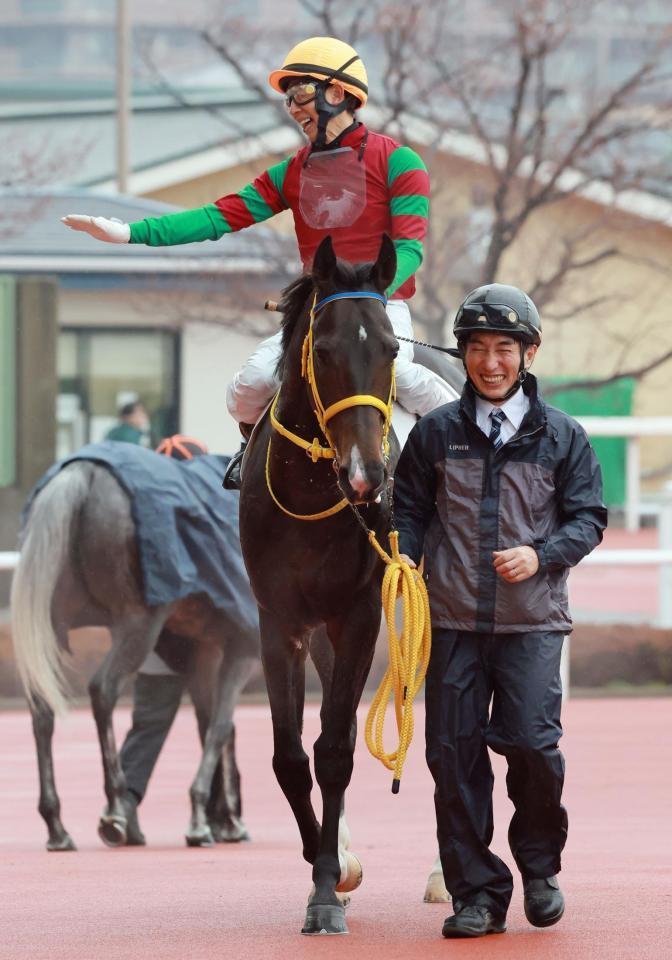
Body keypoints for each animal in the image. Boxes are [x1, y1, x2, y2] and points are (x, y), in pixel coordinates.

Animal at [13, 454, 260, 852]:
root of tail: (82, 473)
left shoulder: (203, 650)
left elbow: (211, 723)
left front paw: (220, 818)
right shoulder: (243, 647)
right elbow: (221, 726)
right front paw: (208, 819)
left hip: (53, 623)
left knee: (42, 708)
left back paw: (58, 825)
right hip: (138, 622)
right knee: (102, 689)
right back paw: (115, 807)